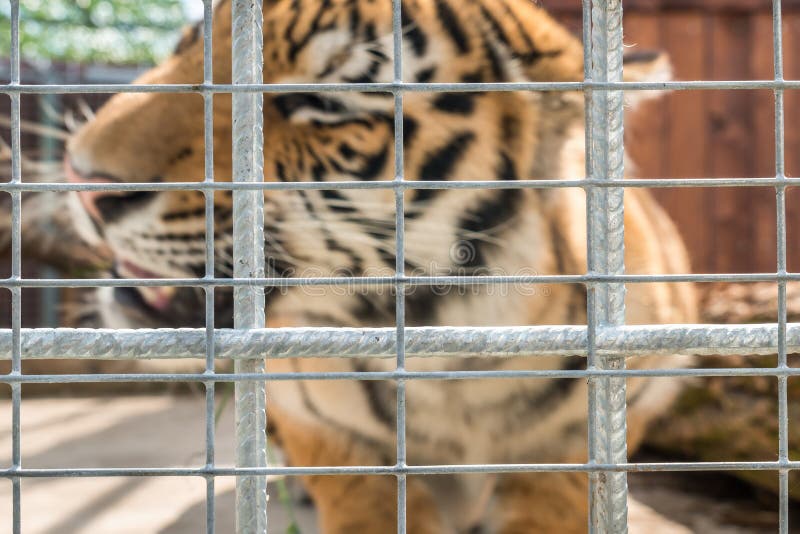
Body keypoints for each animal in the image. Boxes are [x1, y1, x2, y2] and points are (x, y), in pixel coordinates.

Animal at [60, 0, 697, 531]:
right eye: (189, 42)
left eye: (324, 105)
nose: (82, 182)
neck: (454, 370)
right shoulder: (326, 427)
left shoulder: (598, 423)